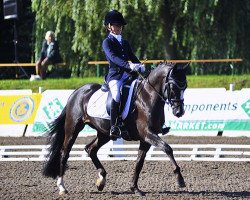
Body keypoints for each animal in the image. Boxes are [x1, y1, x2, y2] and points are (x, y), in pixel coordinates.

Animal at [42, 62, 188, 195]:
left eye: (185, 86)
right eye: (173, 86)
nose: (179, 112)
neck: (148, 96)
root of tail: (76, 92)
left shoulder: (146, 139)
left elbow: (139, 163)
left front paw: (135, 188)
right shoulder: (148, 134)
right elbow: (167, 148)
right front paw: (180, 179)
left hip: (104, 133)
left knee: (91, 149)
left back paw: (101, 180)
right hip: (73, 129)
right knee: (65, 153)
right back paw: (62, 187)